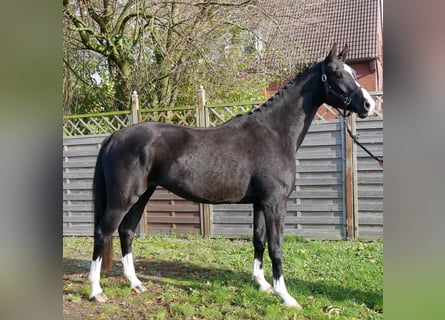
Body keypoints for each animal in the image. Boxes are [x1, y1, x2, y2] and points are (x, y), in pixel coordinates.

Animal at [87, 45, 374, 308]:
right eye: (338, 73)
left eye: (353, 72)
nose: (369, 105)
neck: (274, 133)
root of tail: (114, 137)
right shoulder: (275, 203)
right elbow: (276, 247)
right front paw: (285, 296)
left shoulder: (260, 203)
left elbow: (258, 241)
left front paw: (262, 285)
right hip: (122, 199)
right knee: (103, 233)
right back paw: (96, 291)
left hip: (142, 195)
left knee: (126, 232)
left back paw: (135, 283)